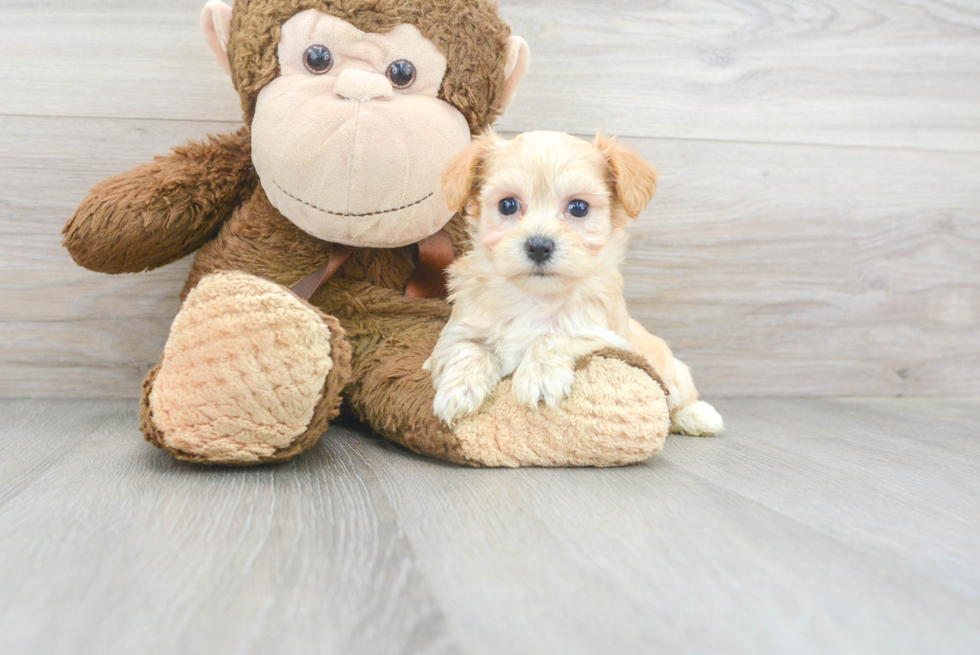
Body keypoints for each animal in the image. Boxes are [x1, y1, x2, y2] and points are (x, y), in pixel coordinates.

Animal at [424, 129, 724, 436]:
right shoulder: (454, 335)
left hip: (674, 372)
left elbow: (555, 335)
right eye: (507, 205)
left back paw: (698, 416)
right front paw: (458, 390)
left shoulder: (603, 334)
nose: (539, 246)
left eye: (579, 208)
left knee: (675, 403)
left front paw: (540, 377)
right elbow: (468, 349)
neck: (534, 297)